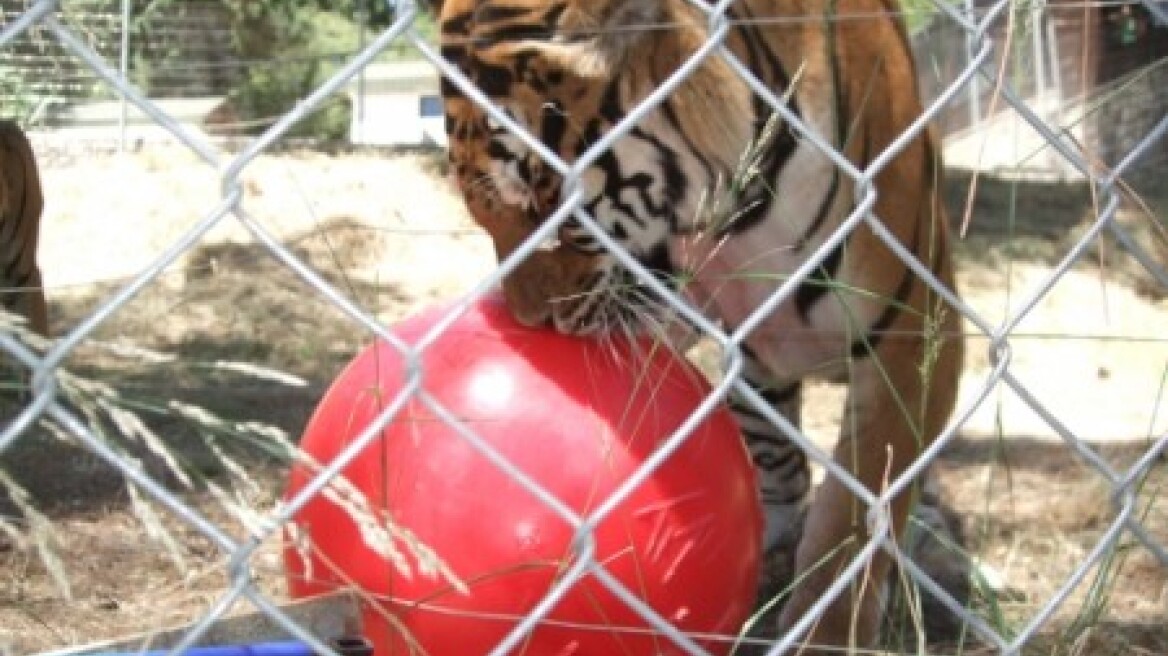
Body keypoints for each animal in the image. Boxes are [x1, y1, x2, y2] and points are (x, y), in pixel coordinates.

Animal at [429, 0, 967, 648]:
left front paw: (827, 633)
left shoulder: (916, 334)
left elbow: (856, 515)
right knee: (780, 463)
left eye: (542, 193)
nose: (530, 319)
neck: (745, 219)